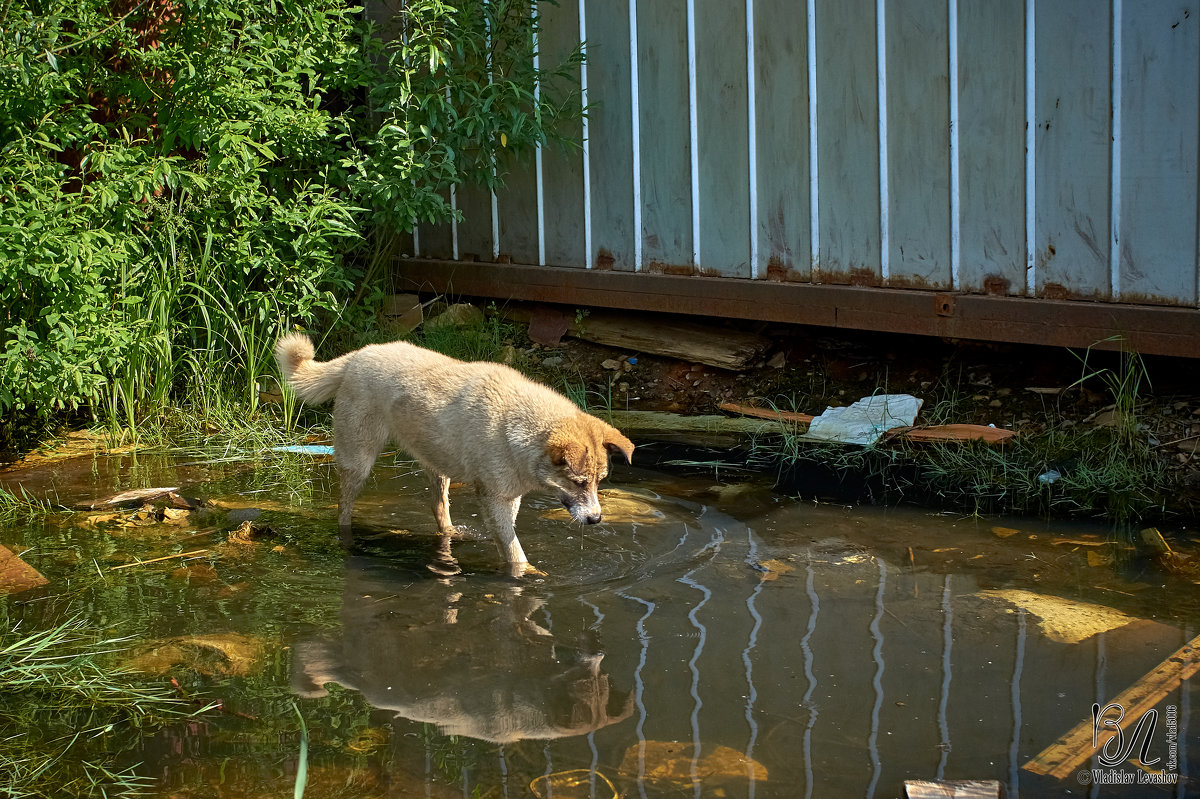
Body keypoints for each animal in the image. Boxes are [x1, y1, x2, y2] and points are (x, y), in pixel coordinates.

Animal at [276, 333, 638, 575]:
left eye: (599, 481)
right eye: (579, 482)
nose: (596, 520)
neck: (517, 427)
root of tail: (358, 355)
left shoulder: (510, 497)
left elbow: (507, 539)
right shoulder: (495, 499)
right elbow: (514, 550)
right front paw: (527, 574)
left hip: (437, 463)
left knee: (438, 508)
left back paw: (451, 536)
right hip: (358, 460)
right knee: (344, 507)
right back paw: (347, 539)